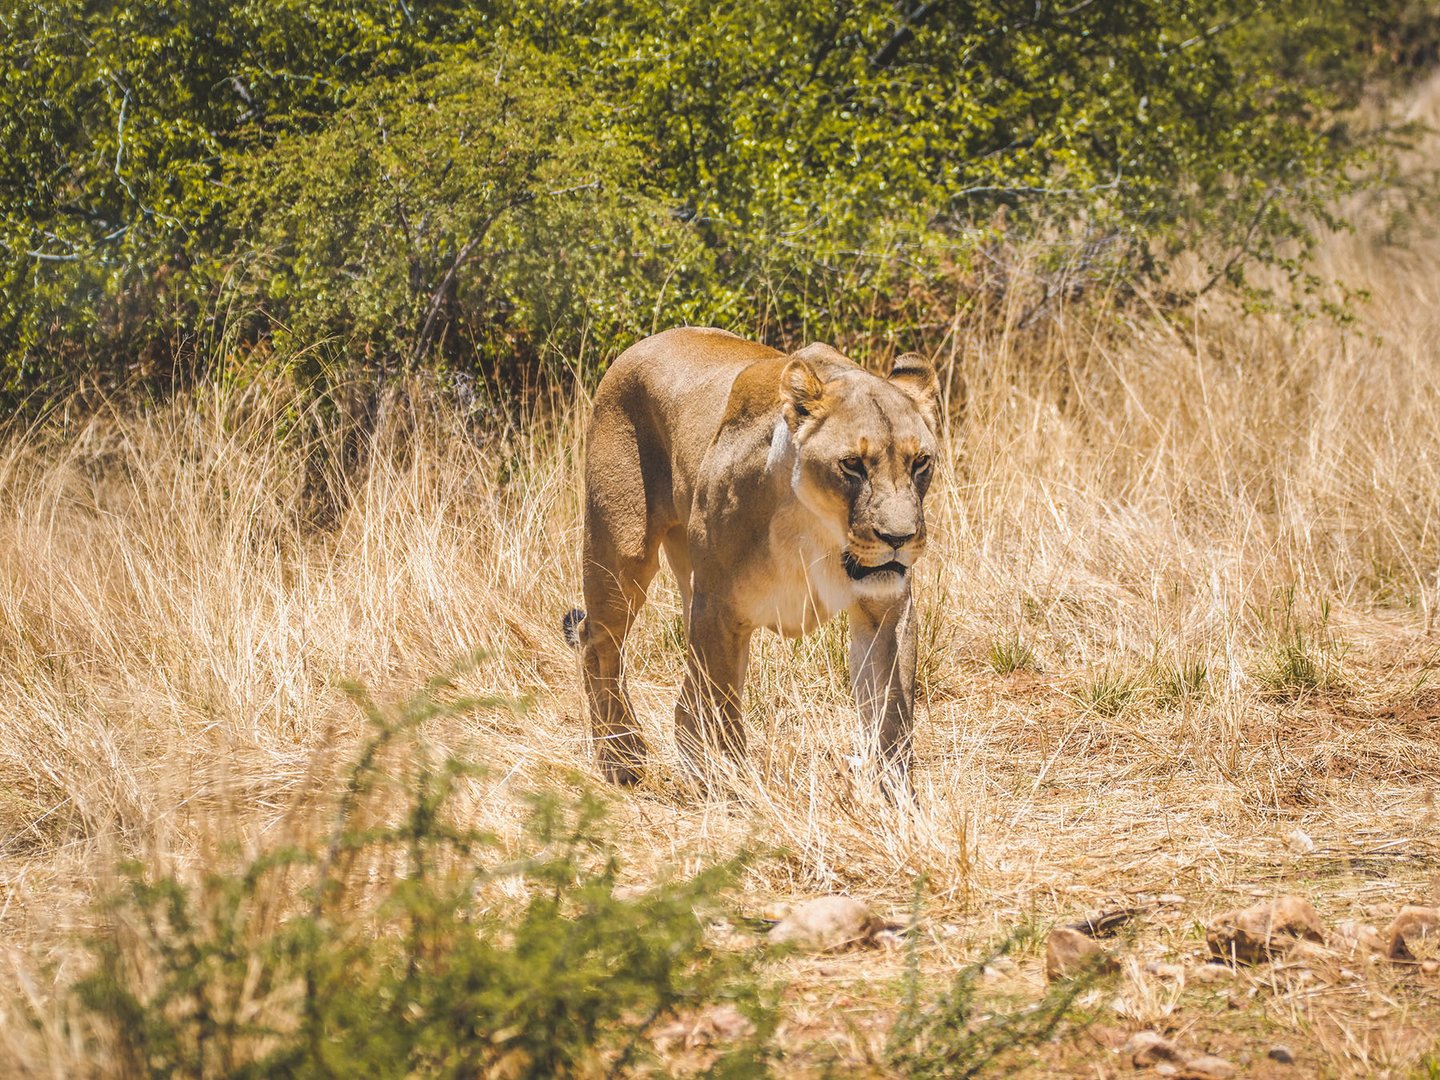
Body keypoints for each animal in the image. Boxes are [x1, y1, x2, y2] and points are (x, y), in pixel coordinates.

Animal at [564, 326, 939, 786]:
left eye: (920, 462)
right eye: (852, 464)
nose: (899, 538)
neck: (816, 530)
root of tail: (643, 343)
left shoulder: (886, 609)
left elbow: (891, 720)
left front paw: (894, 797)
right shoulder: (720, 609)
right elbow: (723, 714)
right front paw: (740, 790)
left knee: (685, 691)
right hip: (622, 555)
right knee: (598, 643)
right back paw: (621, 757)